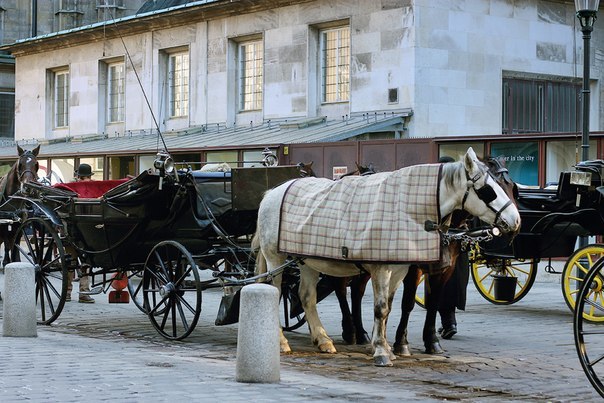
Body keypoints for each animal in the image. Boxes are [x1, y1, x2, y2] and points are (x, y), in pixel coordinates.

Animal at [252, 148, 520, 366]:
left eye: (509, 187)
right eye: (488, 191)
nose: (516, 221)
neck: (408, 209)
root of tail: (272, 192)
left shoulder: (401, 269)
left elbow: (391, 307)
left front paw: (387, 346)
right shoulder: (382, 268)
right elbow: (381, 308)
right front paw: (382, 351)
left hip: (307, 259)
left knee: (307, 296)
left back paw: (323, 338)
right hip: (276, 257)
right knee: (276, 291)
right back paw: (282, 341)